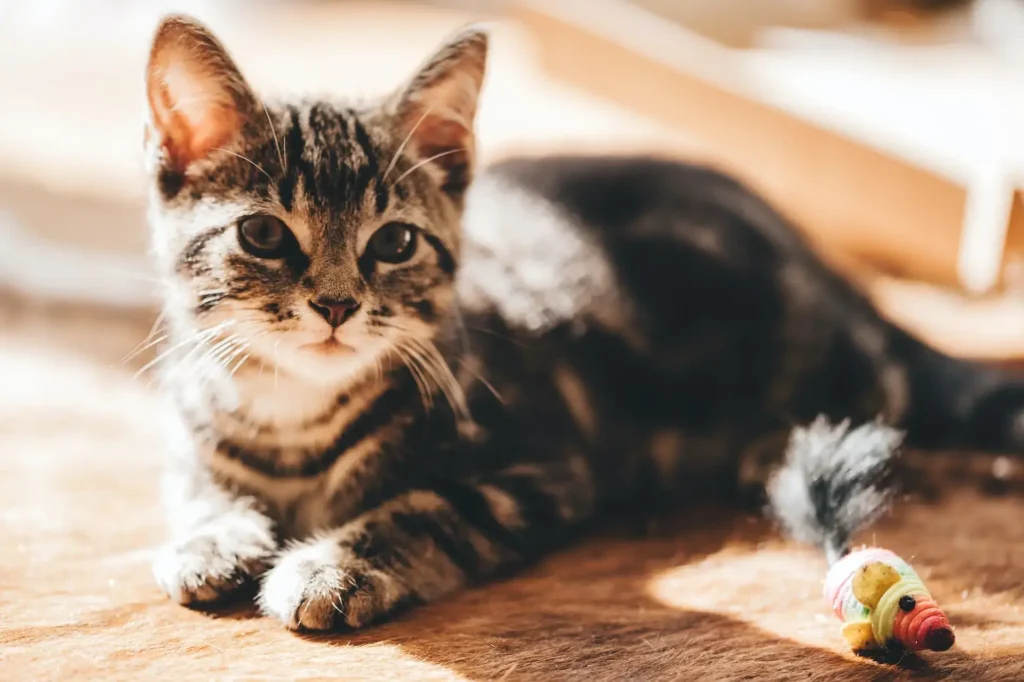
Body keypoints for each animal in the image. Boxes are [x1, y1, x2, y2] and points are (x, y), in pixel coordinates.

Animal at [146, 15, 1024, 630]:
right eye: (264, 235)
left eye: (393, 243)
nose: (335, 304)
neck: (291, 415)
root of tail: (822, 261)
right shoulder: (187, 419)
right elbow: (194, 477)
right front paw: (212, 537)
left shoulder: (541, 469)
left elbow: (423, 508)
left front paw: (331, 567)